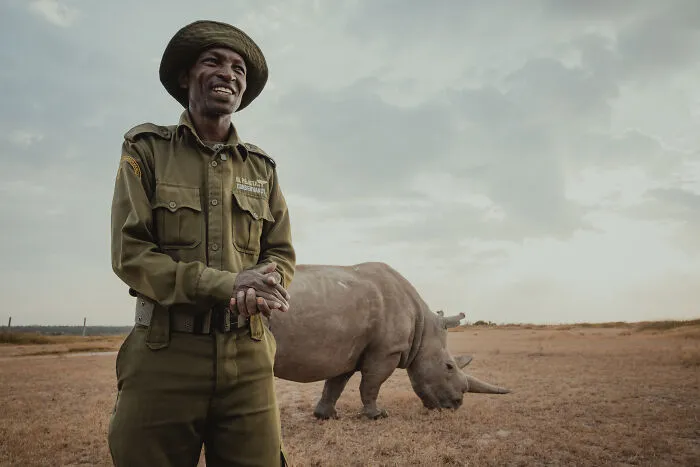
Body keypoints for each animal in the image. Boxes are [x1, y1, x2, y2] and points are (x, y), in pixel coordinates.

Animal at [268, 262, 510, 419]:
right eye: (449, 366)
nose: (456, 405)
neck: (423, 327)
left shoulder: (349, 350)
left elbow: (335, 384)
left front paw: (325, 416)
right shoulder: (387, 350)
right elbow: (371, 383)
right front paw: (378, 415)